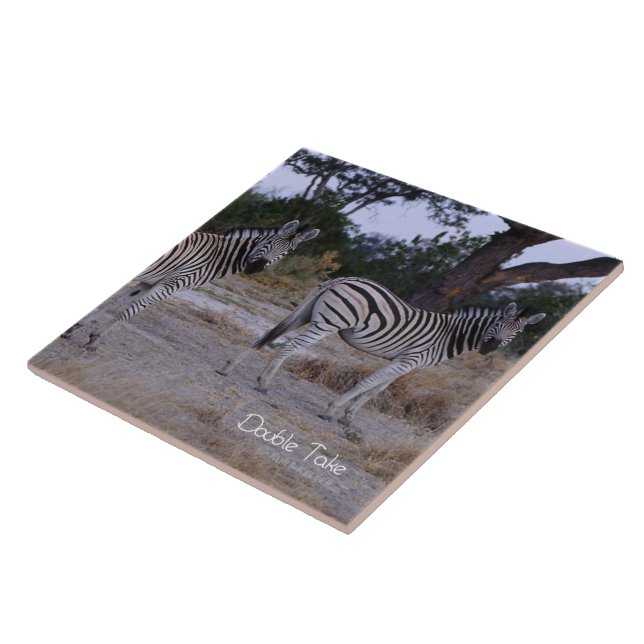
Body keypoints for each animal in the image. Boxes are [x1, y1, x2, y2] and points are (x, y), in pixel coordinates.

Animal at [66, 220, 319, 348]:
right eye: (271, 241)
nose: (254, 268)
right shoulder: (168, 286)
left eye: (287, 252)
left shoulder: (150, 283)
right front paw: (93, 340)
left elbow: (115, 304)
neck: (216, 258)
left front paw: (75, 330)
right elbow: (129, 312)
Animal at [219, 276, 546, 426]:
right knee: (289, 345)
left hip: (306, 313)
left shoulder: (407, 364)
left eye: (516, 334)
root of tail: (343, 279)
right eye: (498, 324)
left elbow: (377, 390)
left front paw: (349, 417)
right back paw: (263, 383)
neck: (448, 337)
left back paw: (228, 367)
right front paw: (332, 411)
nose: (489, 348)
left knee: (267, 335)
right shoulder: (407, 360)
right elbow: (368, 383)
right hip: (329, 322)